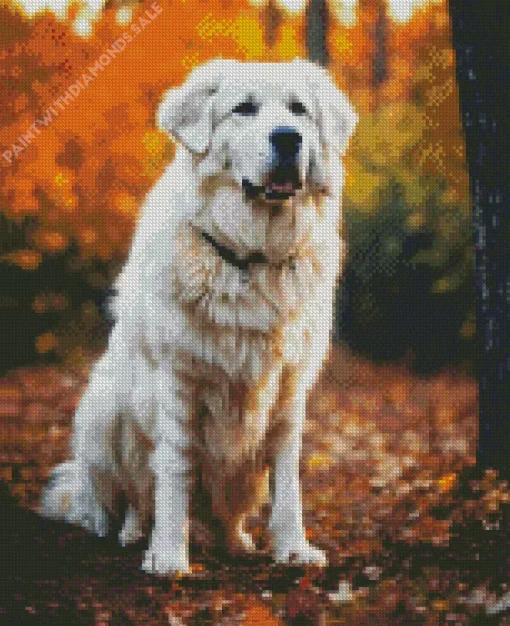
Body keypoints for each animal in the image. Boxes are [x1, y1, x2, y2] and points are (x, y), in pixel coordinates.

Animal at [40, 58, 358, 572]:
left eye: (299, 110)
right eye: (244, 108)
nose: (289, 138)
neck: (251, 259)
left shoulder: (289, 387)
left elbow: (287, 477)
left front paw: (293, 548)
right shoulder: (177, 380)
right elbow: (173, 470)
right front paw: (170, 555)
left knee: (226, 511)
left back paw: (236, 541)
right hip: (103, 410)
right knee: (123, 498)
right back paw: (130, 533)